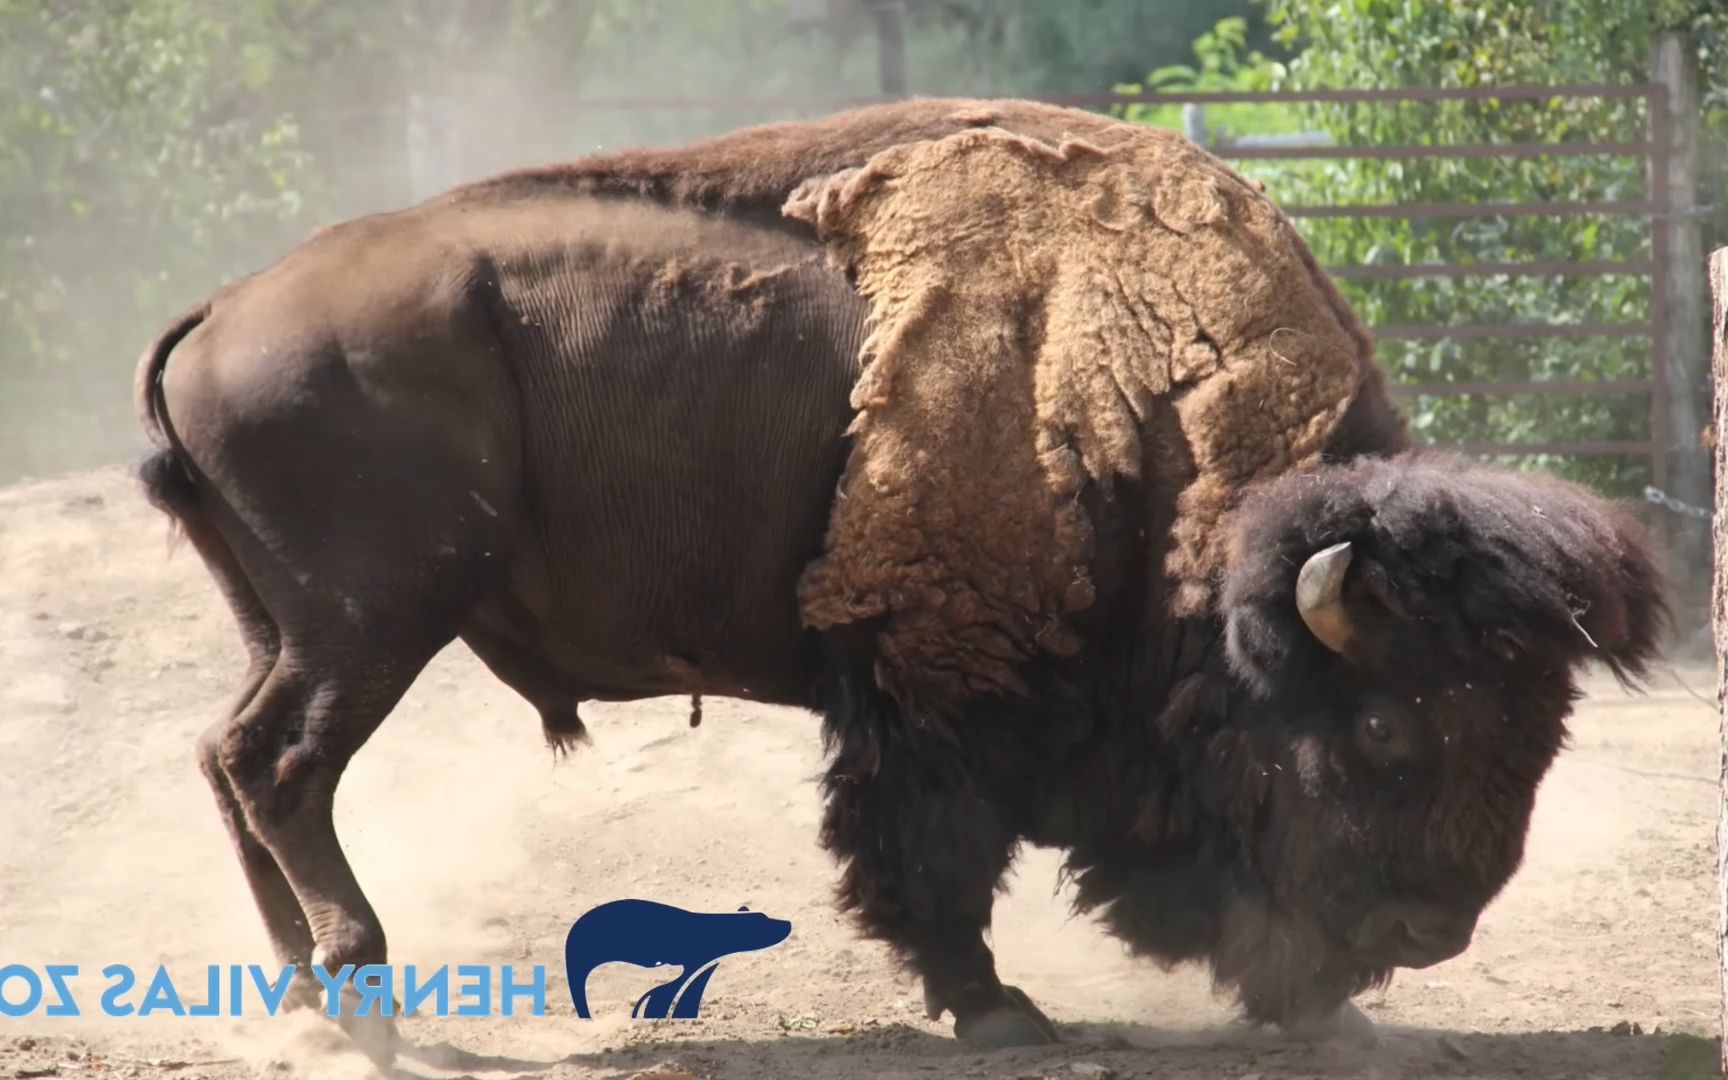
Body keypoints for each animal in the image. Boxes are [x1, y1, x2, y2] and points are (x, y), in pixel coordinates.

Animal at [127, 98, 1665, 1064]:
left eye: (1542, 734)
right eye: (1391, 725)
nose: (1435, 929)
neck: (1144, 388)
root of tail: (223, 311)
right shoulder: (935, 686)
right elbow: (932, 853)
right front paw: (1002, 1011)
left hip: (292, 625)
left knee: (228, 760)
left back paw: (299, 997)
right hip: (371, 624)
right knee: (280, 768)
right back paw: (360, 995)